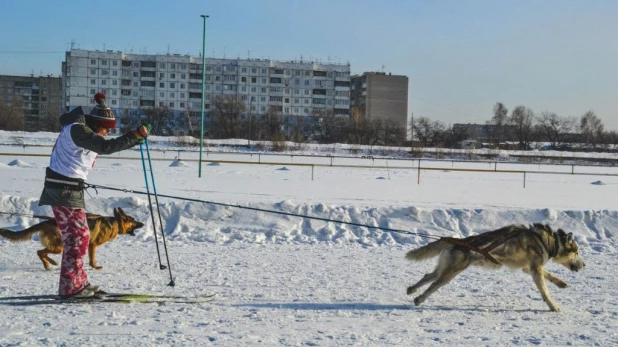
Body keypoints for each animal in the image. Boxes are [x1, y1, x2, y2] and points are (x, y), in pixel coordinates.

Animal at [404, 224, 584, 314]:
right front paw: (553, 306)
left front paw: (560, 283)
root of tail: (456, 241)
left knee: (428, 276)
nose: (584, 265)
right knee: (433, 285)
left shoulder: (529, 268)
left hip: (445, 268)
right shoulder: (535, 269)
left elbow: (550, 276)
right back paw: (419, 298)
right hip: (451, 272)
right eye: (577, 252)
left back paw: (412, 289)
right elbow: (545, 292)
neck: (547, 241)